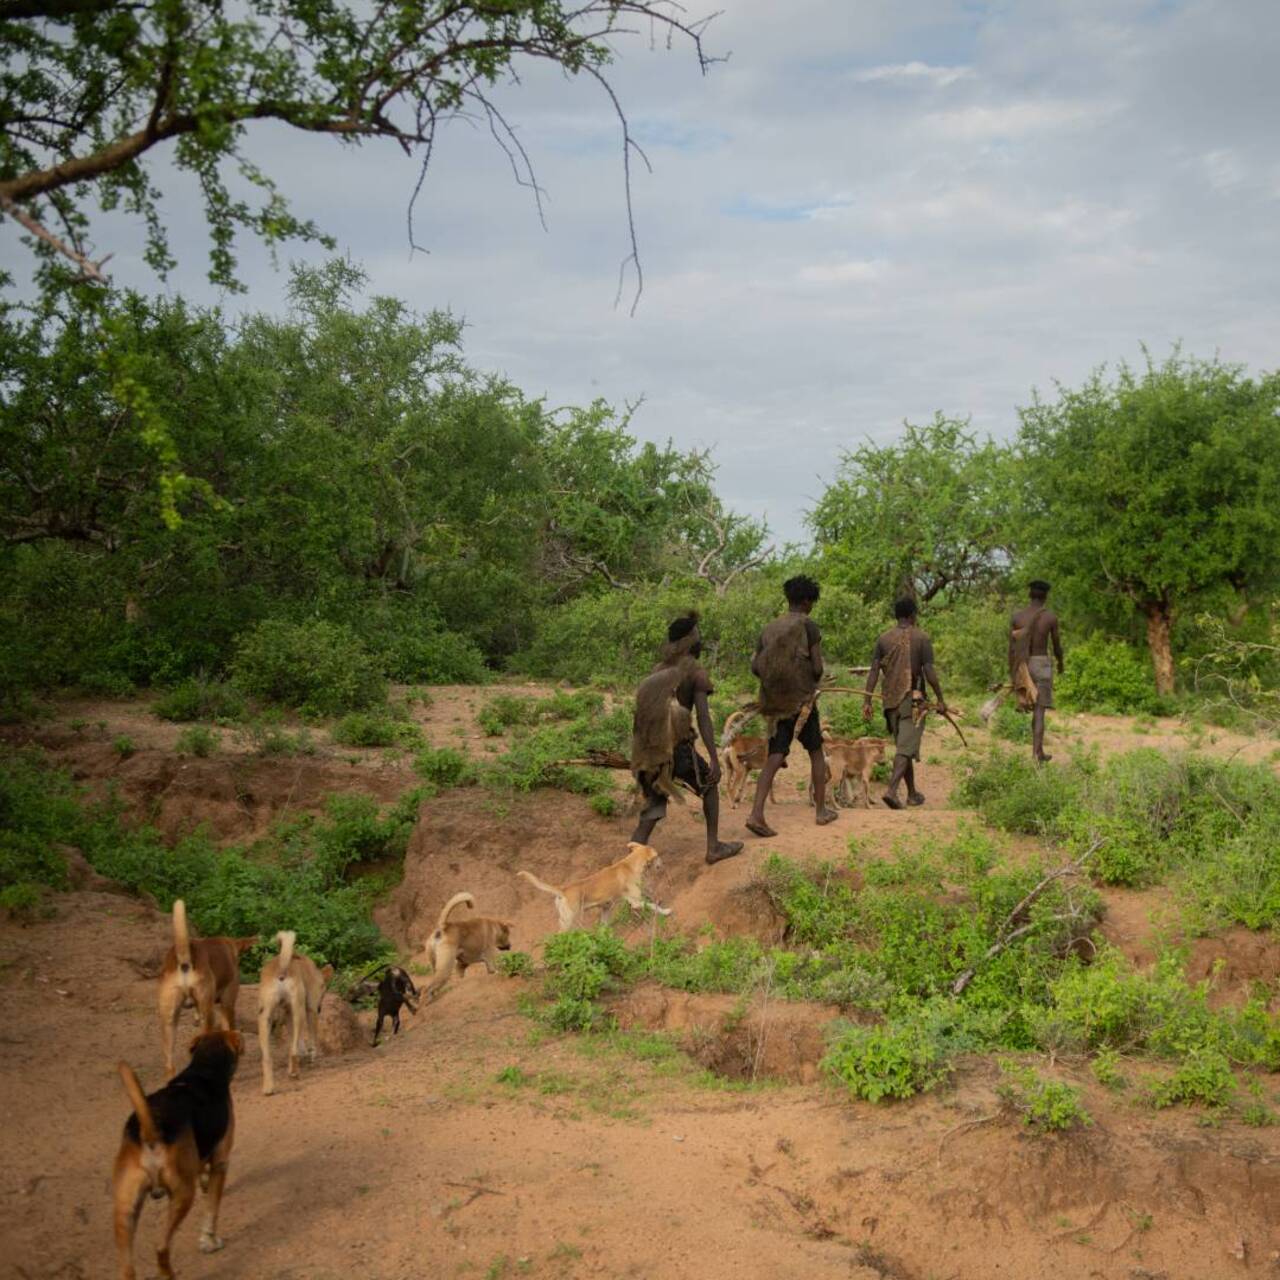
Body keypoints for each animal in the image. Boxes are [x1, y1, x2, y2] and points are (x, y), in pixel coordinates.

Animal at [113, 1029, 244, 1280]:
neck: (203, 1070)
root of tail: (151, 1129)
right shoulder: (221, 1162)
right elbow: (212, 1210)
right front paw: (209, 1241)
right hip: (183, 1194)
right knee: (161, 1247)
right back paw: (168, 1274)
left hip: (125, 1210)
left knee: (127, 1269)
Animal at [154, 901, 254, 1080]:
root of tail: (185, 959)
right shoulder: (228, 1004)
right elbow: (229, 1029)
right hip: (209, 1014)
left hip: (168, 1020)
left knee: (169, 1066)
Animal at [254, 931, 332, 1100]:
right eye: (323, 990)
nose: (321, 1008)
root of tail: (282, 967)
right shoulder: (310, 1010)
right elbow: (311, 1039)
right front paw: (311, 1056)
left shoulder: (288, 1014)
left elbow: (295, 1040)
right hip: (299, 1012)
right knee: (293, 1051)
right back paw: (294, 1072)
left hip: (265, 1018)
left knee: (268, 1058)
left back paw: (269, 1087)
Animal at [514, 839, 670, 931]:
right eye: (658, 856)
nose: (663, 863)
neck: (630, 865)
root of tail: (563, 890)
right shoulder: (636, 902)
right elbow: (652, 906)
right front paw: (666, 911)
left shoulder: (606, 907)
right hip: (569, 920)